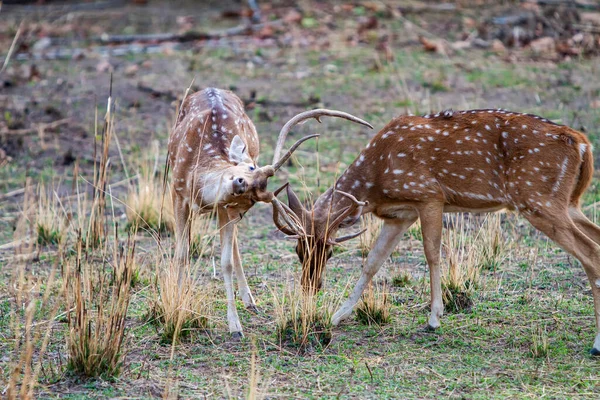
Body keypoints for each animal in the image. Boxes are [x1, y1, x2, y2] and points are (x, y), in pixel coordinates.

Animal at [165, 88, 370, 338]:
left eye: (251, 198)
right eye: (251, 168)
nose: (241, 183)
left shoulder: (226, 209)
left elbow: (226, 262)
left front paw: (235, 326)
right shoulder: (177, 192)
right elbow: (182, 254)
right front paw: (177, 306)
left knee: (234, 246)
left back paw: (249, 300)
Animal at [274, 108, 600, 354]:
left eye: (328, 250)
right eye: (298, 250)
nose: (310, 285)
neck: (376, 181)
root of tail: (583, 144)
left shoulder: (429, 196)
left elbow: (431, 254)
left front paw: (433, 319)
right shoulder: (399, 215)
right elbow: (373, 262)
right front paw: (338, 315)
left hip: (538, 199)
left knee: (590, 252)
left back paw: (595, 344)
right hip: (569, 202)